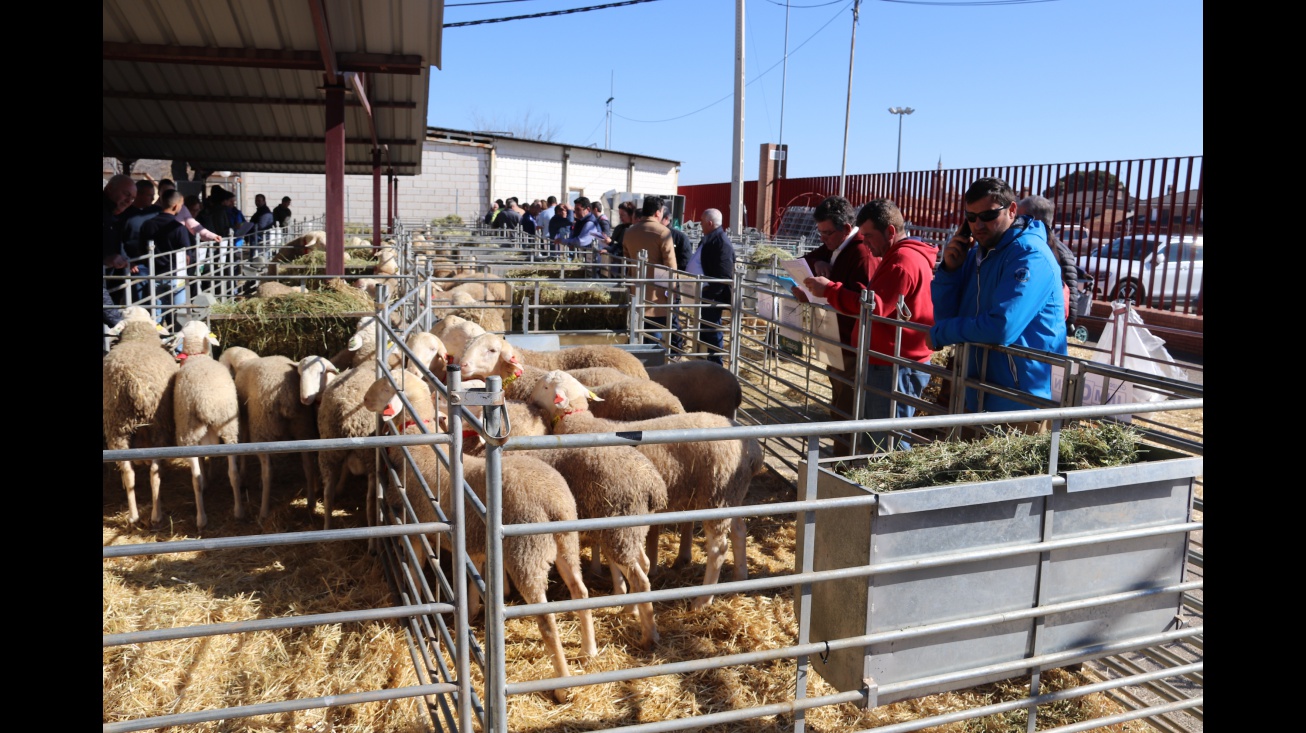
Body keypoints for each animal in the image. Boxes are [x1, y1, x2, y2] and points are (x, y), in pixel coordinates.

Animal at [102, 303, 180, 525]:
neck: (138, 335)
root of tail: (134, 383)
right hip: (158, 426)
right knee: (154, 471)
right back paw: (156, 515)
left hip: (116, 425)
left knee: (128, 471)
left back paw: (134, 517)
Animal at [172, 318, 244, 525]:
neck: (197, 357)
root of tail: (207, 403)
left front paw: (207, 475)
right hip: (229, 429)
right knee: (234, 474)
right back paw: (238, 511)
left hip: (187, 433)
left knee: (196, 479)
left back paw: (201, 518)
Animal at [235, 355, 336, 520]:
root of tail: (286, 395)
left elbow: (243, 442)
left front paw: (244, 475)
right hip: (302, 429)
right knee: (309, 467)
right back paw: (311, 502)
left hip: (262, 429)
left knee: (267, 472)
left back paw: (263, 511)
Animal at [363, 368, 598, 695]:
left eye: (386, 386)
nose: (364, 400)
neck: (421, 449)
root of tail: (552, 503)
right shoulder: (474, 541)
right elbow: (472, 577)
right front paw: (472, 610)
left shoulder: (420, 528)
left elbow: (417, 569)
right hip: (566, 544)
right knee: (581, 593)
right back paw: (589, 651)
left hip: (526, 552)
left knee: (547, 619)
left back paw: (562, 685)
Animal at [527, 368, 762, 608]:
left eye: (545, 386)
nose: (529, 398)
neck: (579, 423)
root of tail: (754, 451)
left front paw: (619, 591)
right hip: (732, 494)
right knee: (739, 531)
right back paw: (739, 579)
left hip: (716, 493)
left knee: (718, 549)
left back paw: (703, 600)